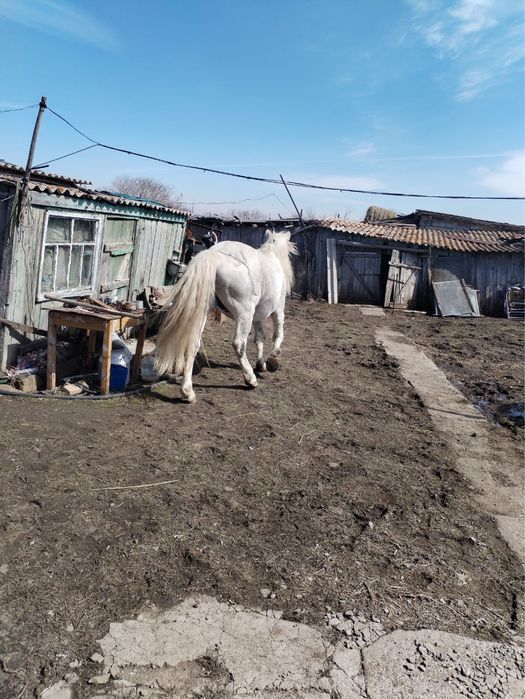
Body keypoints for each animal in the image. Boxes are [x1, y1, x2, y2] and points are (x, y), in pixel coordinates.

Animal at [155, 230, 298, 403]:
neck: (271, 253)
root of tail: (216, 255)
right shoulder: (277, 309)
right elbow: (278, 334)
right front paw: (274, 357)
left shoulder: (257, 318)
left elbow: (259, 339)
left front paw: (261, 364)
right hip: (244, 314)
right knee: (239, 344)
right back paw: (250, 379)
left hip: (205, 311)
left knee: (193, 344)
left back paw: (187, 392)